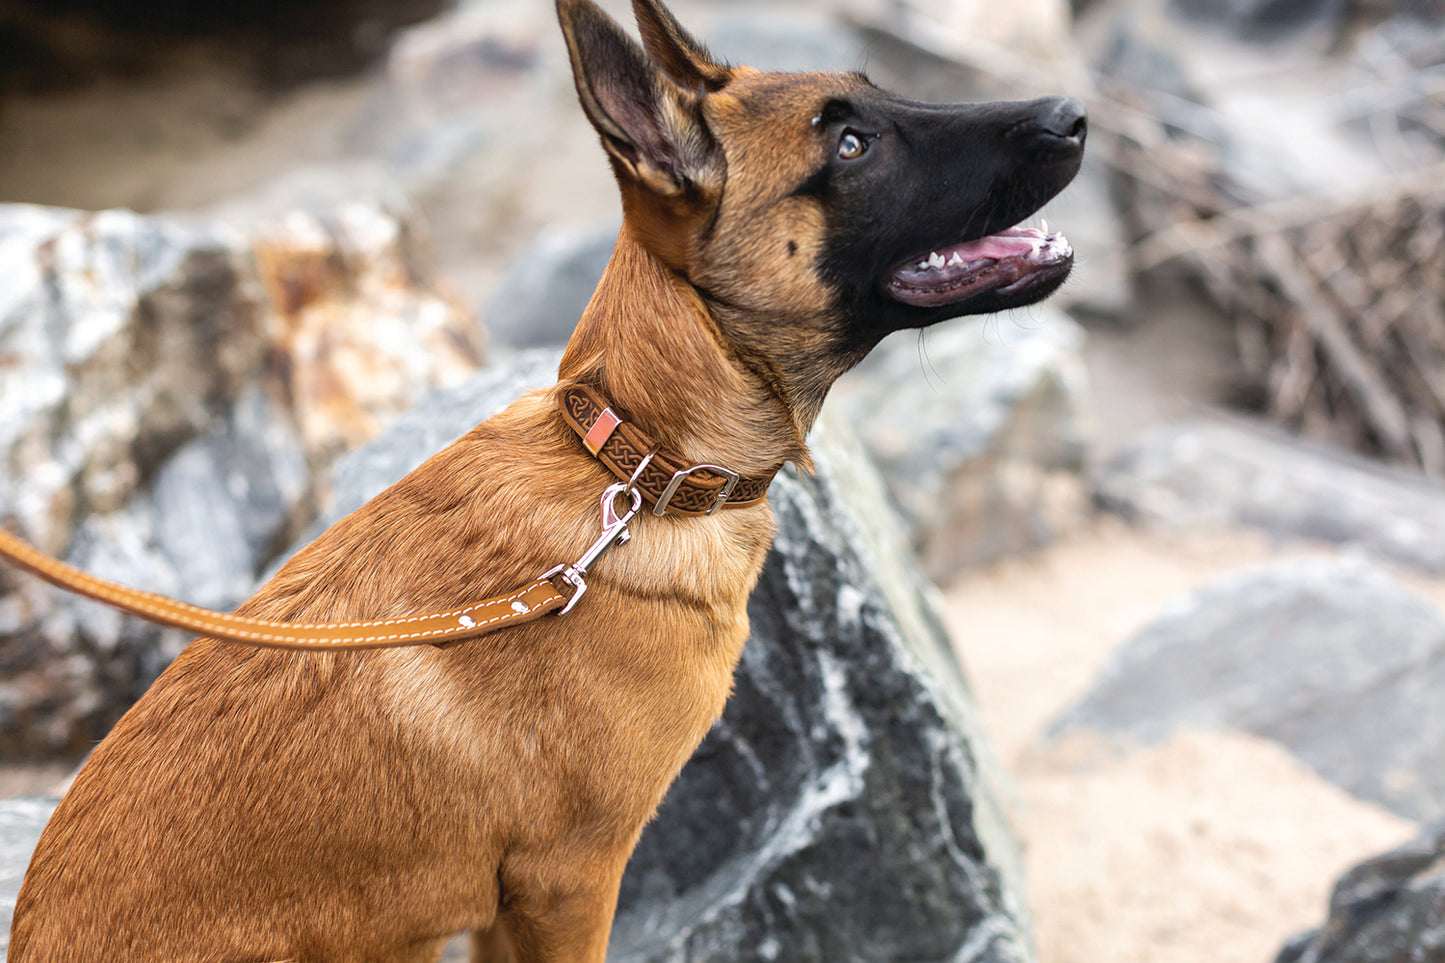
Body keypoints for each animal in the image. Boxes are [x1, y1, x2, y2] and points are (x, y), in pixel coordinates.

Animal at [2, 0, 1086, 954]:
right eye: (852, 148)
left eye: (875, 101)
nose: (1070, 116)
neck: (637, 468)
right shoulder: (568, 879)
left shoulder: (506, 905)